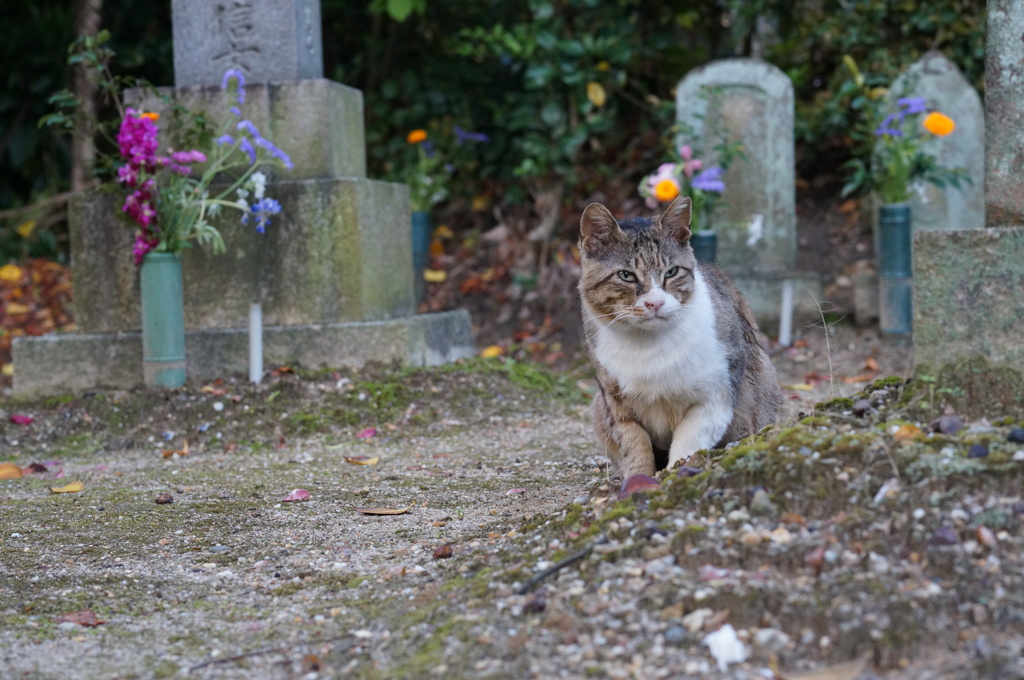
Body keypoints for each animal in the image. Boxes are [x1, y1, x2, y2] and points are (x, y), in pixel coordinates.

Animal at [577, 195, 774, 477]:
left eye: (671, 272)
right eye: (626, 275)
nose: (655, 303)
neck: (647, 345)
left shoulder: (717, 396)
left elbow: (688, 443)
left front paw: (672, 474)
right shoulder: (616, 404)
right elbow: (634, 448)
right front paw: (638, 479)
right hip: (598, 406)